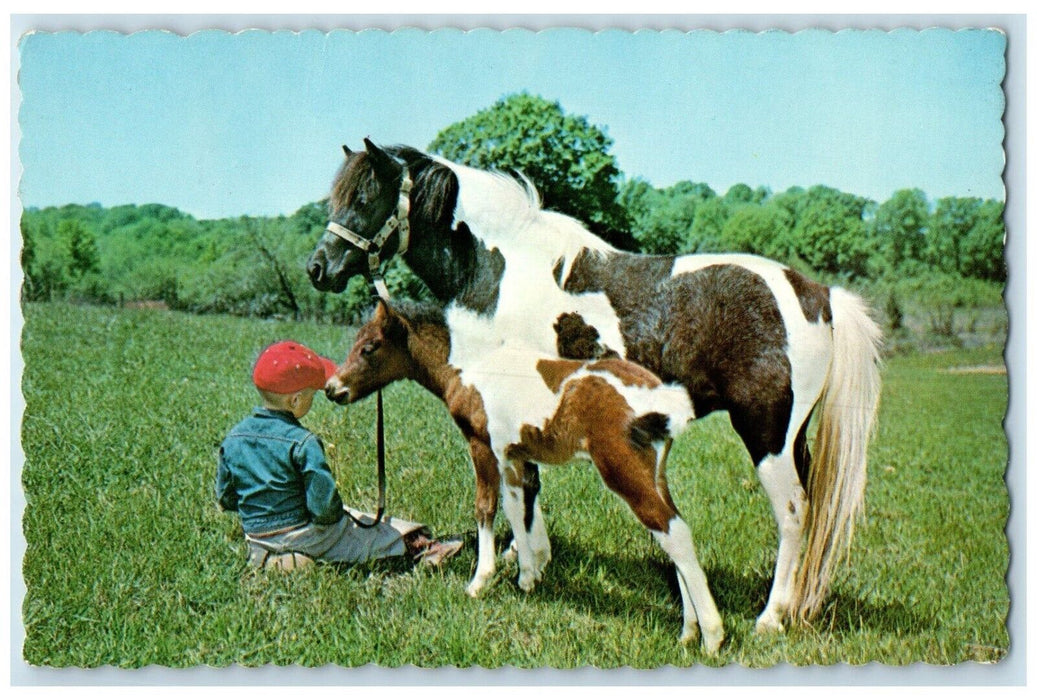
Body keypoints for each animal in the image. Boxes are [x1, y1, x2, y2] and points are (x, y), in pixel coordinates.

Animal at [327, 300, 725, 651]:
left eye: (369, 347)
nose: (333, 389)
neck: (473, 367)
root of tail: (662, 398)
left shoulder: (481, 445)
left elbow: (486, 507)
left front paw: (480, 581)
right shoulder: (514, 454)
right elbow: (518, 506)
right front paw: (530, 574)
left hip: (622, 470)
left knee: (673, 532)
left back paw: (711, 637)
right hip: (654, 473)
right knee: (672, 531)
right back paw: (688, 631)